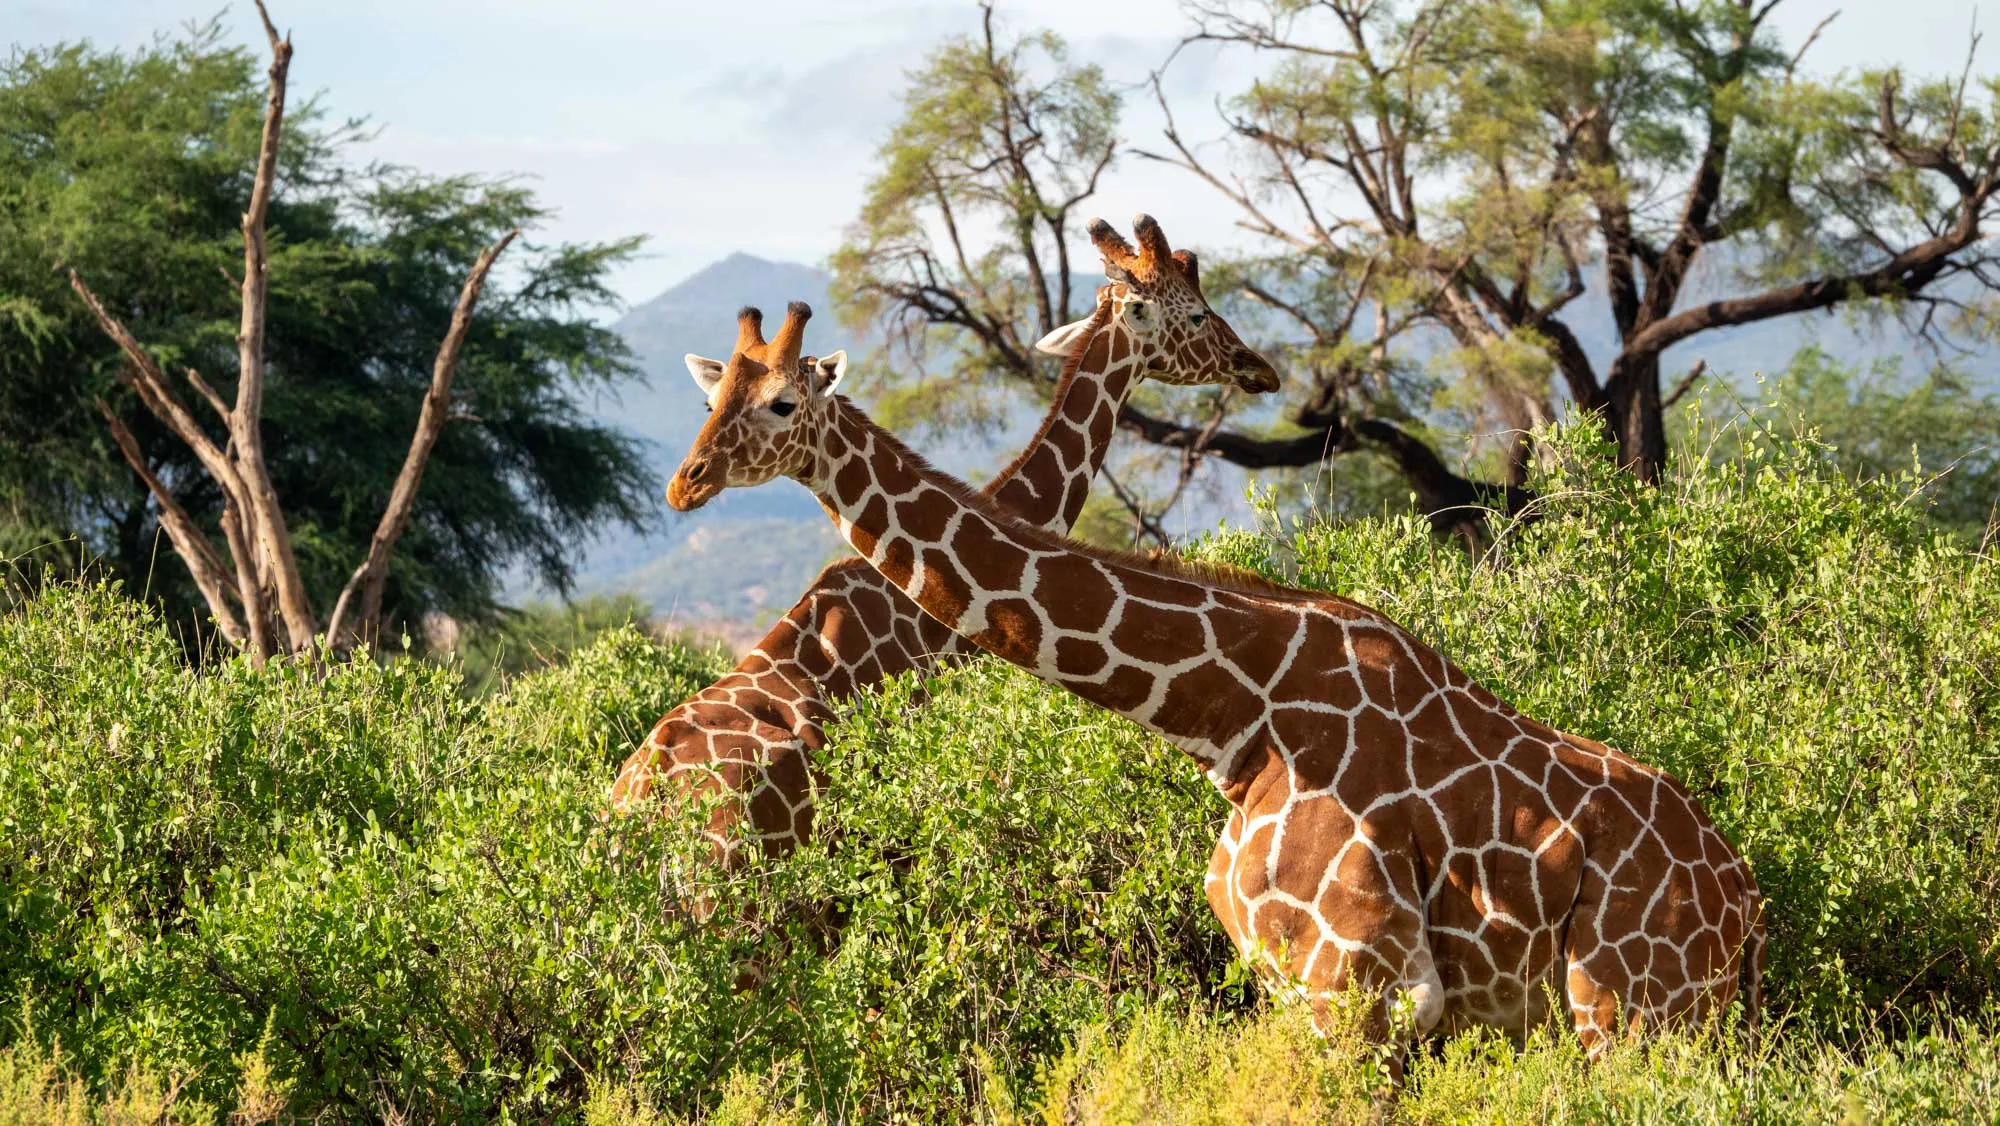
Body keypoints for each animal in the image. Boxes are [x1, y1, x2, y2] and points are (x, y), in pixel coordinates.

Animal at [659, 235, 1765, 1061]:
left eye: (780, 403)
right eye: (717, 400)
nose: (684, 483)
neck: (1235, 718)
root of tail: (1746, 904)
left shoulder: (1357, 993)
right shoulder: (1306, 989)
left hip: (1627, 1016)